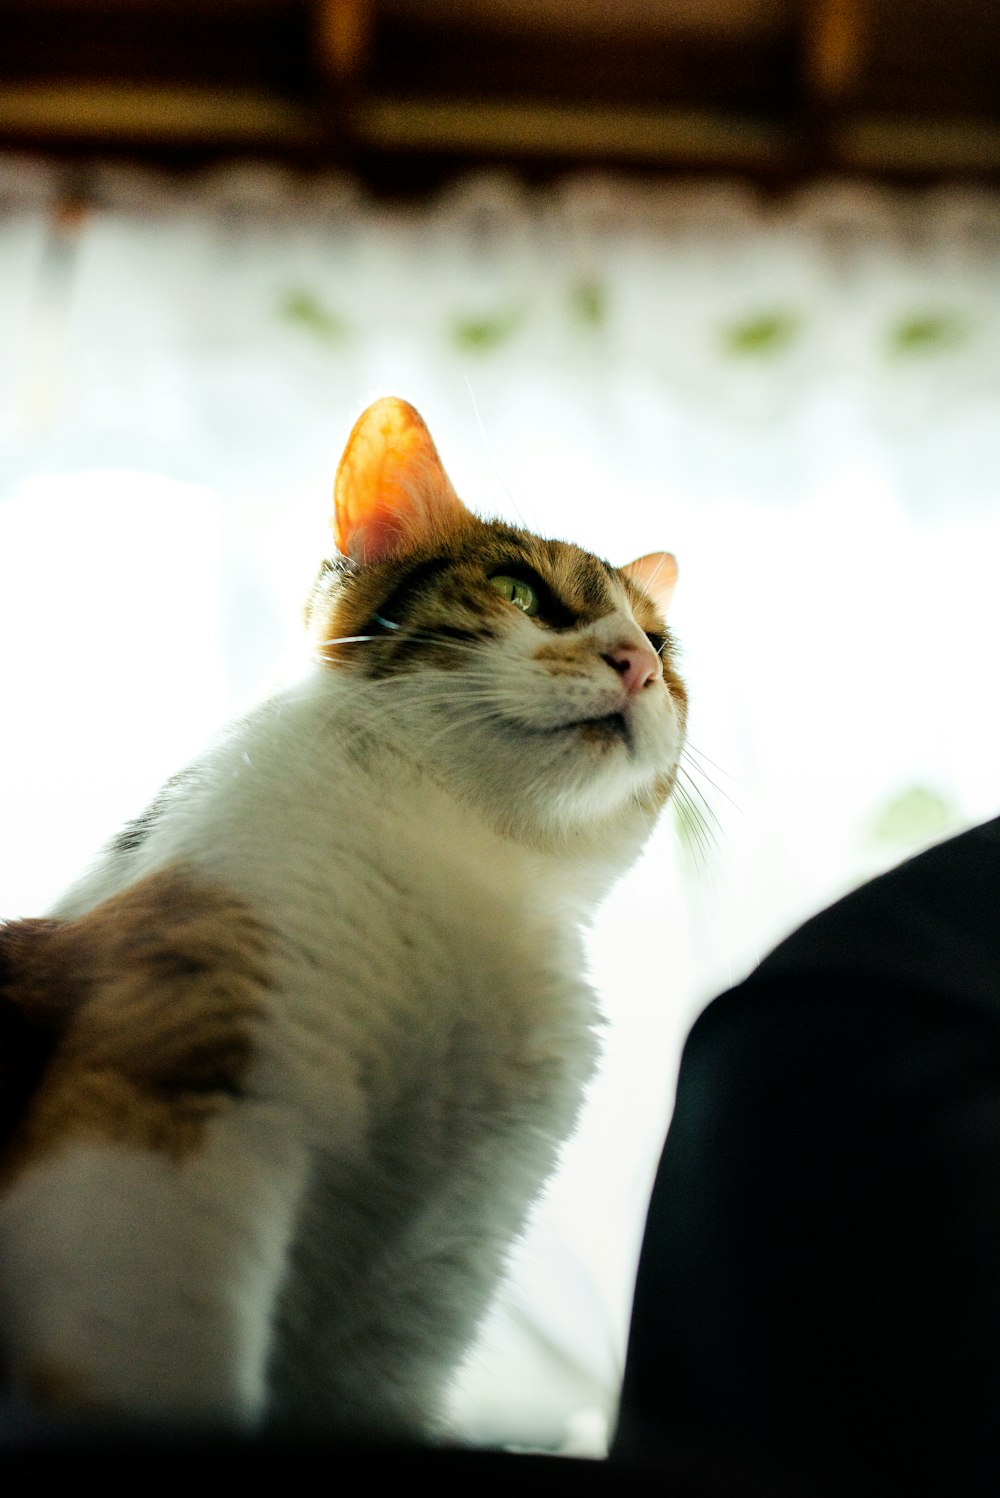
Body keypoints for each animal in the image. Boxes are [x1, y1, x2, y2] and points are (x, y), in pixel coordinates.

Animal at [0, 398, 688, 1438]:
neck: (470, 871)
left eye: (668, 648)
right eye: (521, 593)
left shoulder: (422, 1286)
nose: (639, 663)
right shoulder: (165, 1112)